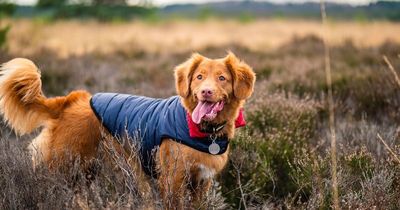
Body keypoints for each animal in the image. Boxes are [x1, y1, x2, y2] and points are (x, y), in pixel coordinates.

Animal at [0, 52, 256, 208]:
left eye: (222, 78)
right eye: (199, 77)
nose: (205, 92)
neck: (201, 130)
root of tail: (69, 101)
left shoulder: (202, 183)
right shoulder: (172, 180)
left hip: (86, 171)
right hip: (63, 166)